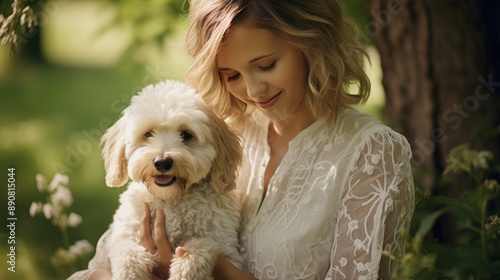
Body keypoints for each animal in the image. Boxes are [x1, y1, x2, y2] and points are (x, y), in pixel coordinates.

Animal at [100, 80, 244, 280]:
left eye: (186, 134)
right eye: (148, 134)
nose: (162, 162)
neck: (170, 199)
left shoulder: (227, 250)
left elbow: (201, 247)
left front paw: (185, 269)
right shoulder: (123, 237)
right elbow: (127, 252)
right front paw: (129, 273)